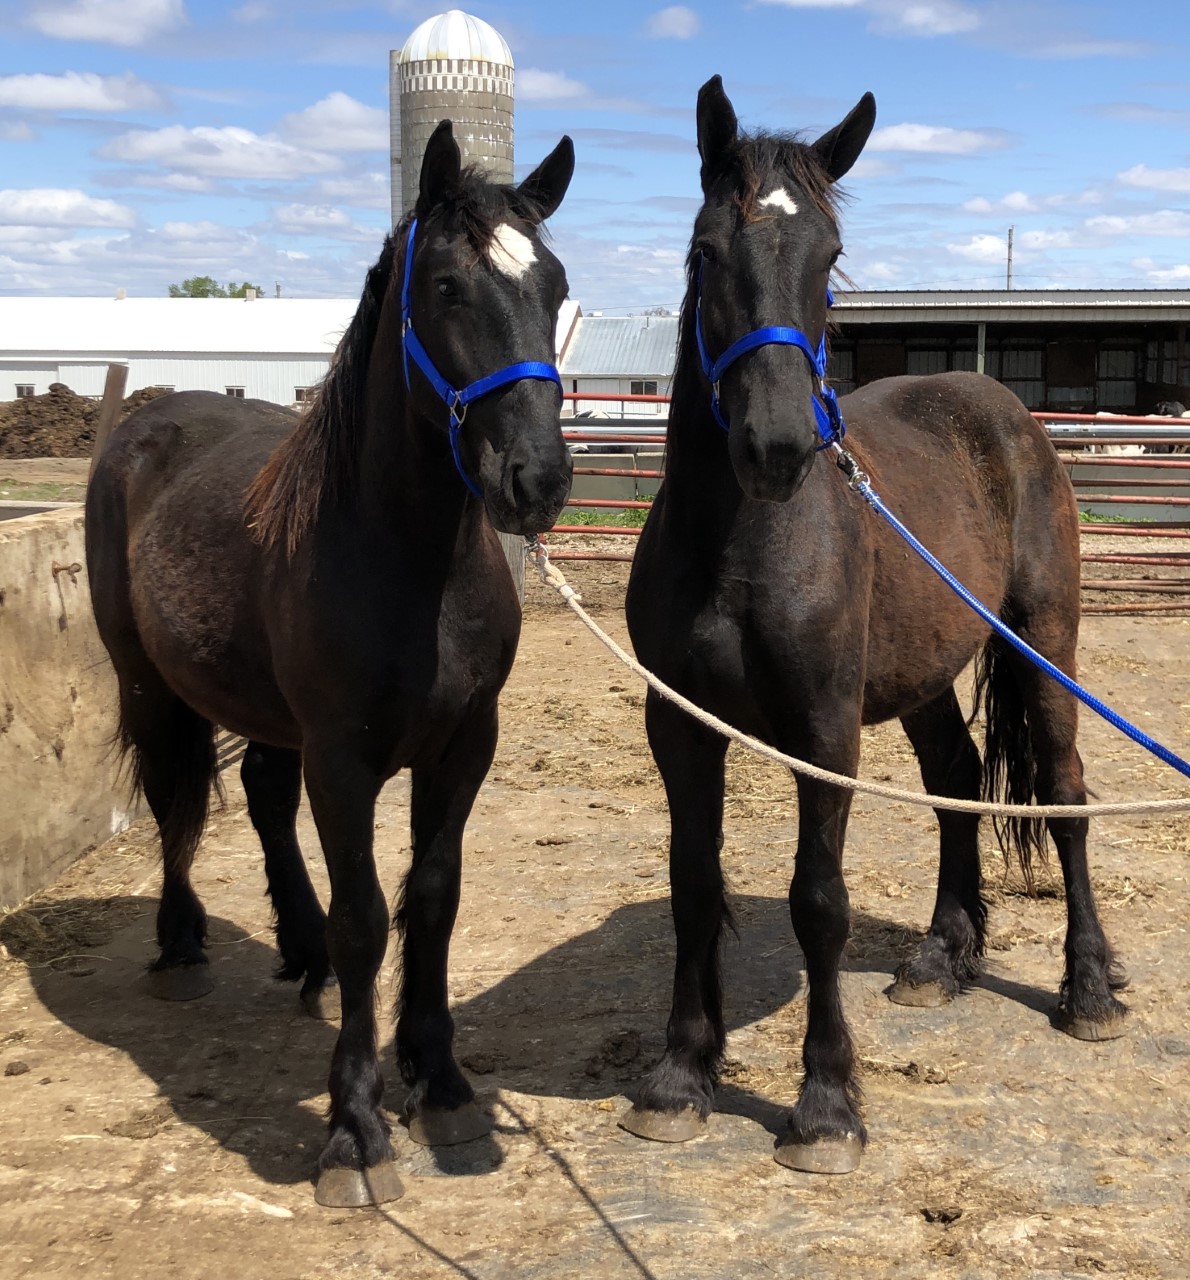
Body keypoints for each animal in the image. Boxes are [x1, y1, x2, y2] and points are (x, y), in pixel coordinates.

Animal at [85, 120, 575, 1206]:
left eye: (556, 285)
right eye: (446, 286)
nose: (538, 478)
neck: (406, 557)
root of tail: (147, 417)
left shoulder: (461, 747)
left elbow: (430, 900)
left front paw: (439, 1078)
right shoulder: (343, 760)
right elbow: (365, 919)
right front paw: (354, 1127)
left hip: (269, 716)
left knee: (264, 801)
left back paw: (297, 952)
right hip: (150, 683)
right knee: (175, 801)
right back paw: (182, 945)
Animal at [623, 76, 1125, 1175]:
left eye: (830, 257)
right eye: (706, 249)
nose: (775, 444)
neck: (740, 543)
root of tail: (1005, 410)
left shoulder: (822, 731)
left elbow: (819, 900)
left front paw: (823, 1106)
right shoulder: (677, 725)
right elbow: (692, 884)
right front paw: (678, 1078)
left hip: (1043, 645)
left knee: (1064, 794)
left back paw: (1088, 988)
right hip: (924, 675)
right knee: (954, 783)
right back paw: (942, 956)